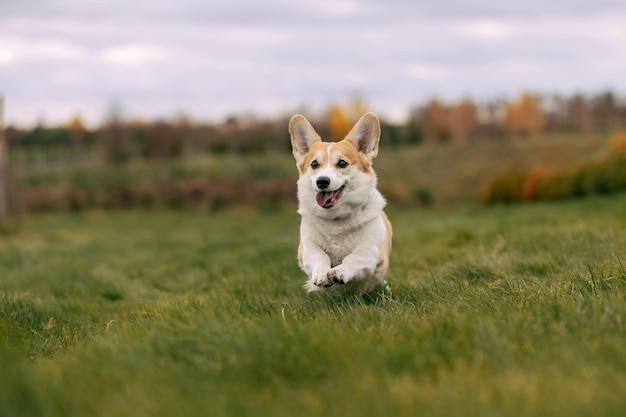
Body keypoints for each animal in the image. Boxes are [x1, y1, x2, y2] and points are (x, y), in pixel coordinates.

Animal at [288, 112, 390, 294]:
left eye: (342, 163)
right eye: (314, 164)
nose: (322, 181)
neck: (335, 219)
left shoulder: (372, 250)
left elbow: (354, 257)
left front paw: (340, 272)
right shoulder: (306, 248)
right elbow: (319, 256)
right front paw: (322, 274)